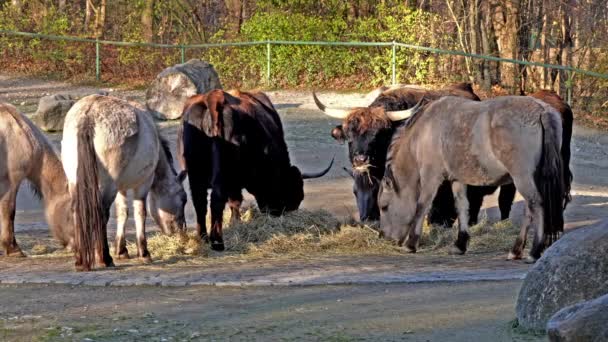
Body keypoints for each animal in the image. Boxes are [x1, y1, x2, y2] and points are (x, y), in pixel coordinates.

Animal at [62, 95, 188, 272]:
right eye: (183, 199)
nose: (181, 231)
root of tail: (88, 116)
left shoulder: (120, 189)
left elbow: (122, 213)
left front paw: (121, 251)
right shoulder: (142, 185)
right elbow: (140, 213)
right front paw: (144, 253)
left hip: (77, 183)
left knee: (76, 211)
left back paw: (80, 261)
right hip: (107, 186)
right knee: (101, 214)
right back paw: (105, 259)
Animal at [178, 89, 334, 250]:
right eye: (295, 193)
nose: (281, 212)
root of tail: (214, 98)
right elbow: (235, 201)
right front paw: (236, 223)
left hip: (195, 174)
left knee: (199, 202)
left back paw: (202, 237)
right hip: (222, 175)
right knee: (217, 200)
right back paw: (217, 241)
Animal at [380, 95, 564, 262]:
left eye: (384, 207)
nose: (385, 237)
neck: (424, 130)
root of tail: (541, 110)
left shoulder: (431, 176)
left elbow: (421, 206)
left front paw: (411, 244)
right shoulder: (457, 180)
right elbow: (462, 207)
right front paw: (460, 244)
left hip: (522, 177)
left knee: (536, 204)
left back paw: (534, 251)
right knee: (529, 210)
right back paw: (516, 250)